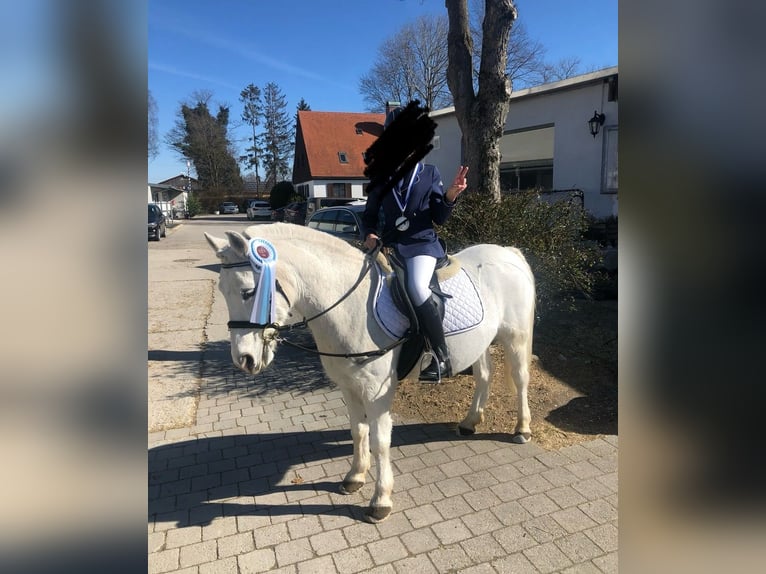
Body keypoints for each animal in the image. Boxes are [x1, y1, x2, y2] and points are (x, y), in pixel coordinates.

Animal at [207, 223, 536, 524]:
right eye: (223, 290)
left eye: (249, 292)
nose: (244, 359)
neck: (349, 307)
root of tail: (508, 252)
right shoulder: (348, 386)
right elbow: (358, 430)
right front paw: (355, 476)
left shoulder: (377, 391)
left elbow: (380, 441)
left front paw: (381, 500)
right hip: (481, 342)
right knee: (484, 376)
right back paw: (470, 422)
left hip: (515, 337)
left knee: (520, 380)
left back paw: (522, 429)